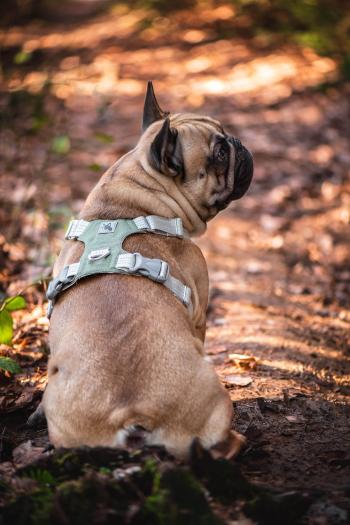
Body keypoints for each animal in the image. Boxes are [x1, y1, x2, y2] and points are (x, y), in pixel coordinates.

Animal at [41, 82, 253, 458]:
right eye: (219, 153)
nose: (237, 142)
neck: (138, 195)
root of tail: (132, 412)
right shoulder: (199, 313)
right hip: (213, 393)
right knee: (219, 445)